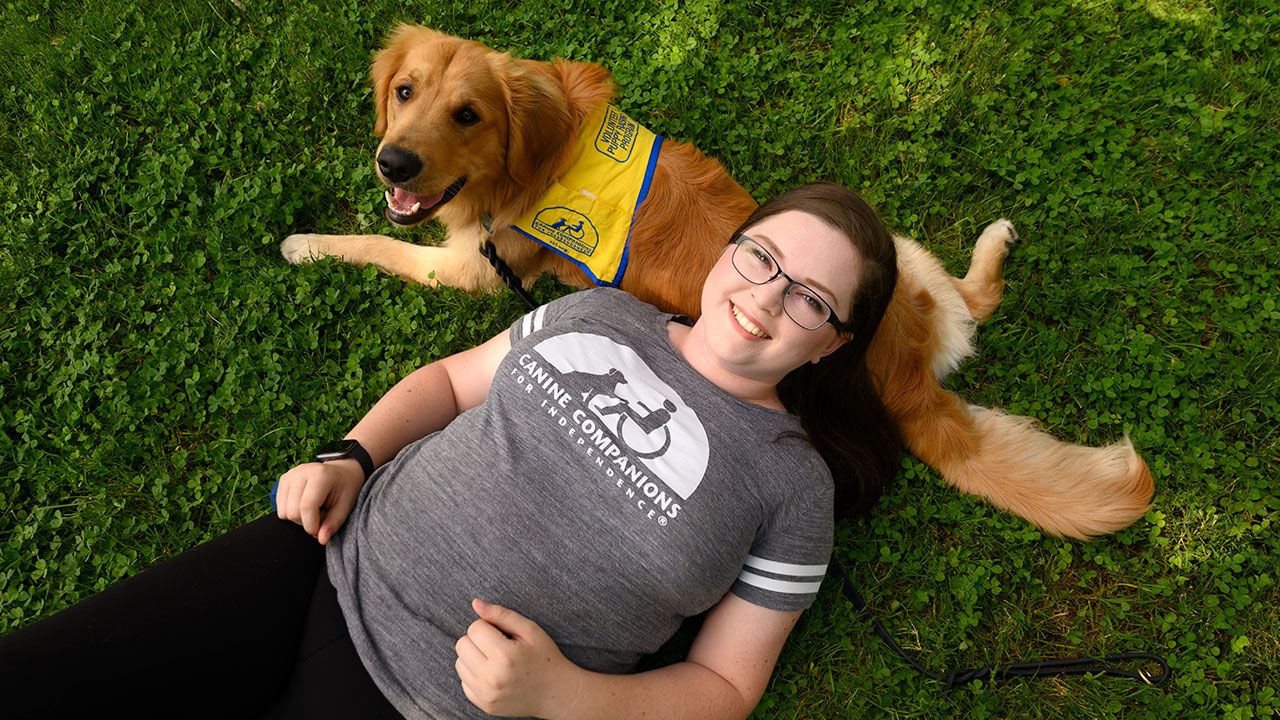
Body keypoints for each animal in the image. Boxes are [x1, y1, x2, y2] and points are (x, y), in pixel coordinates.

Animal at [285, 25, 1157, 538]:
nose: (393, 161)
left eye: (468, 114)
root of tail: (908, 377)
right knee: (976, 301)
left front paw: (304, 242)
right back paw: (995, 241)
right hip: (895, 244)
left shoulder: (472, 266)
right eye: (404, 92)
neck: (544, 147)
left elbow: (377, 242)